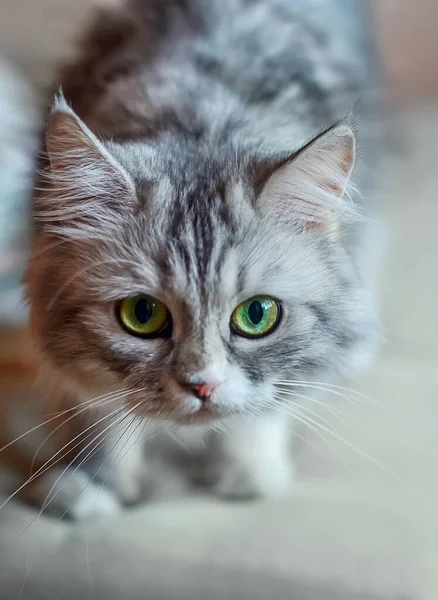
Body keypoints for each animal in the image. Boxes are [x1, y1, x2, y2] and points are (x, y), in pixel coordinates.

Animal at [0, 0, 380, 516]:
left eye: (257, 315)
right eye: (142, 314)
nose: (202, 386)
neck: (203, 125)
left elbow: (266, 408)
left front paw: (246, 473)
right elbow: (101, 415)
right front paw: (94, 485)